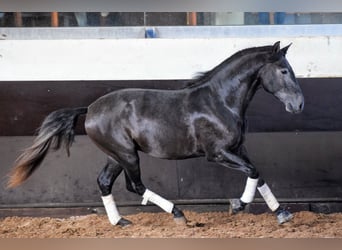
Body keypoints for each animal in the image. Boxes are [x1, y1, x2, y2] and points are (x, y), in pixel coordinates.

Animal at [8, 41, 304, 227]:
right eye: (283, 70)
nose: (299, 105)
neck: (219, 101)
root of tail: (90, 109)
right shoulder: (217, 153)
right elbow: (253, 172)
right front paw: (238, 205)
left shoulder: (238, 149)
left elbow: (258, 173)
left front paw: (282, 213)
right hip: (127, 154)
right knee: (134, 185)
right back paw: (178, 214)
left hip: (115, 155)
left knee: (104, 182)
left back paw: (121, 222)